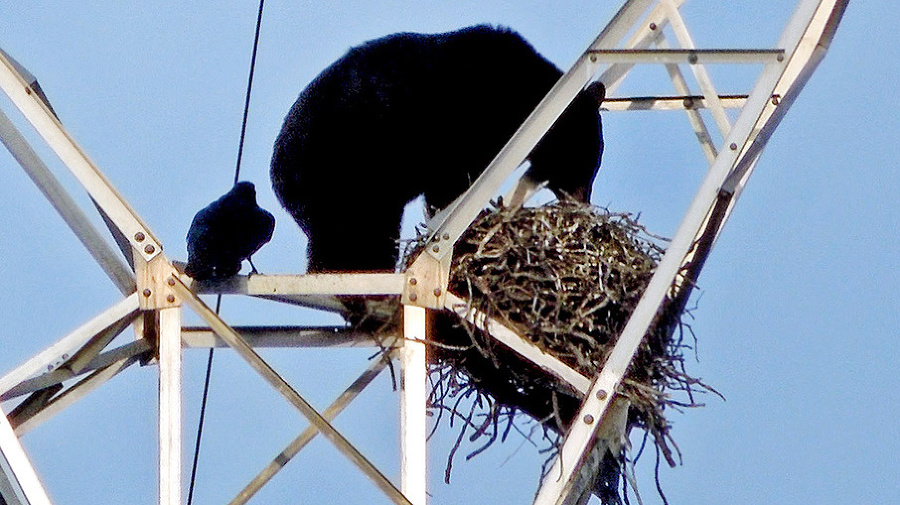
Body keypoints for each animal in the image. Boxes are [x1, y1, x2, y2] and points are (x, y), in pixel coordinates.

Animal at [272, 24, 604, 272]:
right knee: (354, 235)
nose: (584, 204)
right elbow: (448, 185)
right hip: (343, 168)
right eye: (585, 165)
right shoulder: (458, 127)